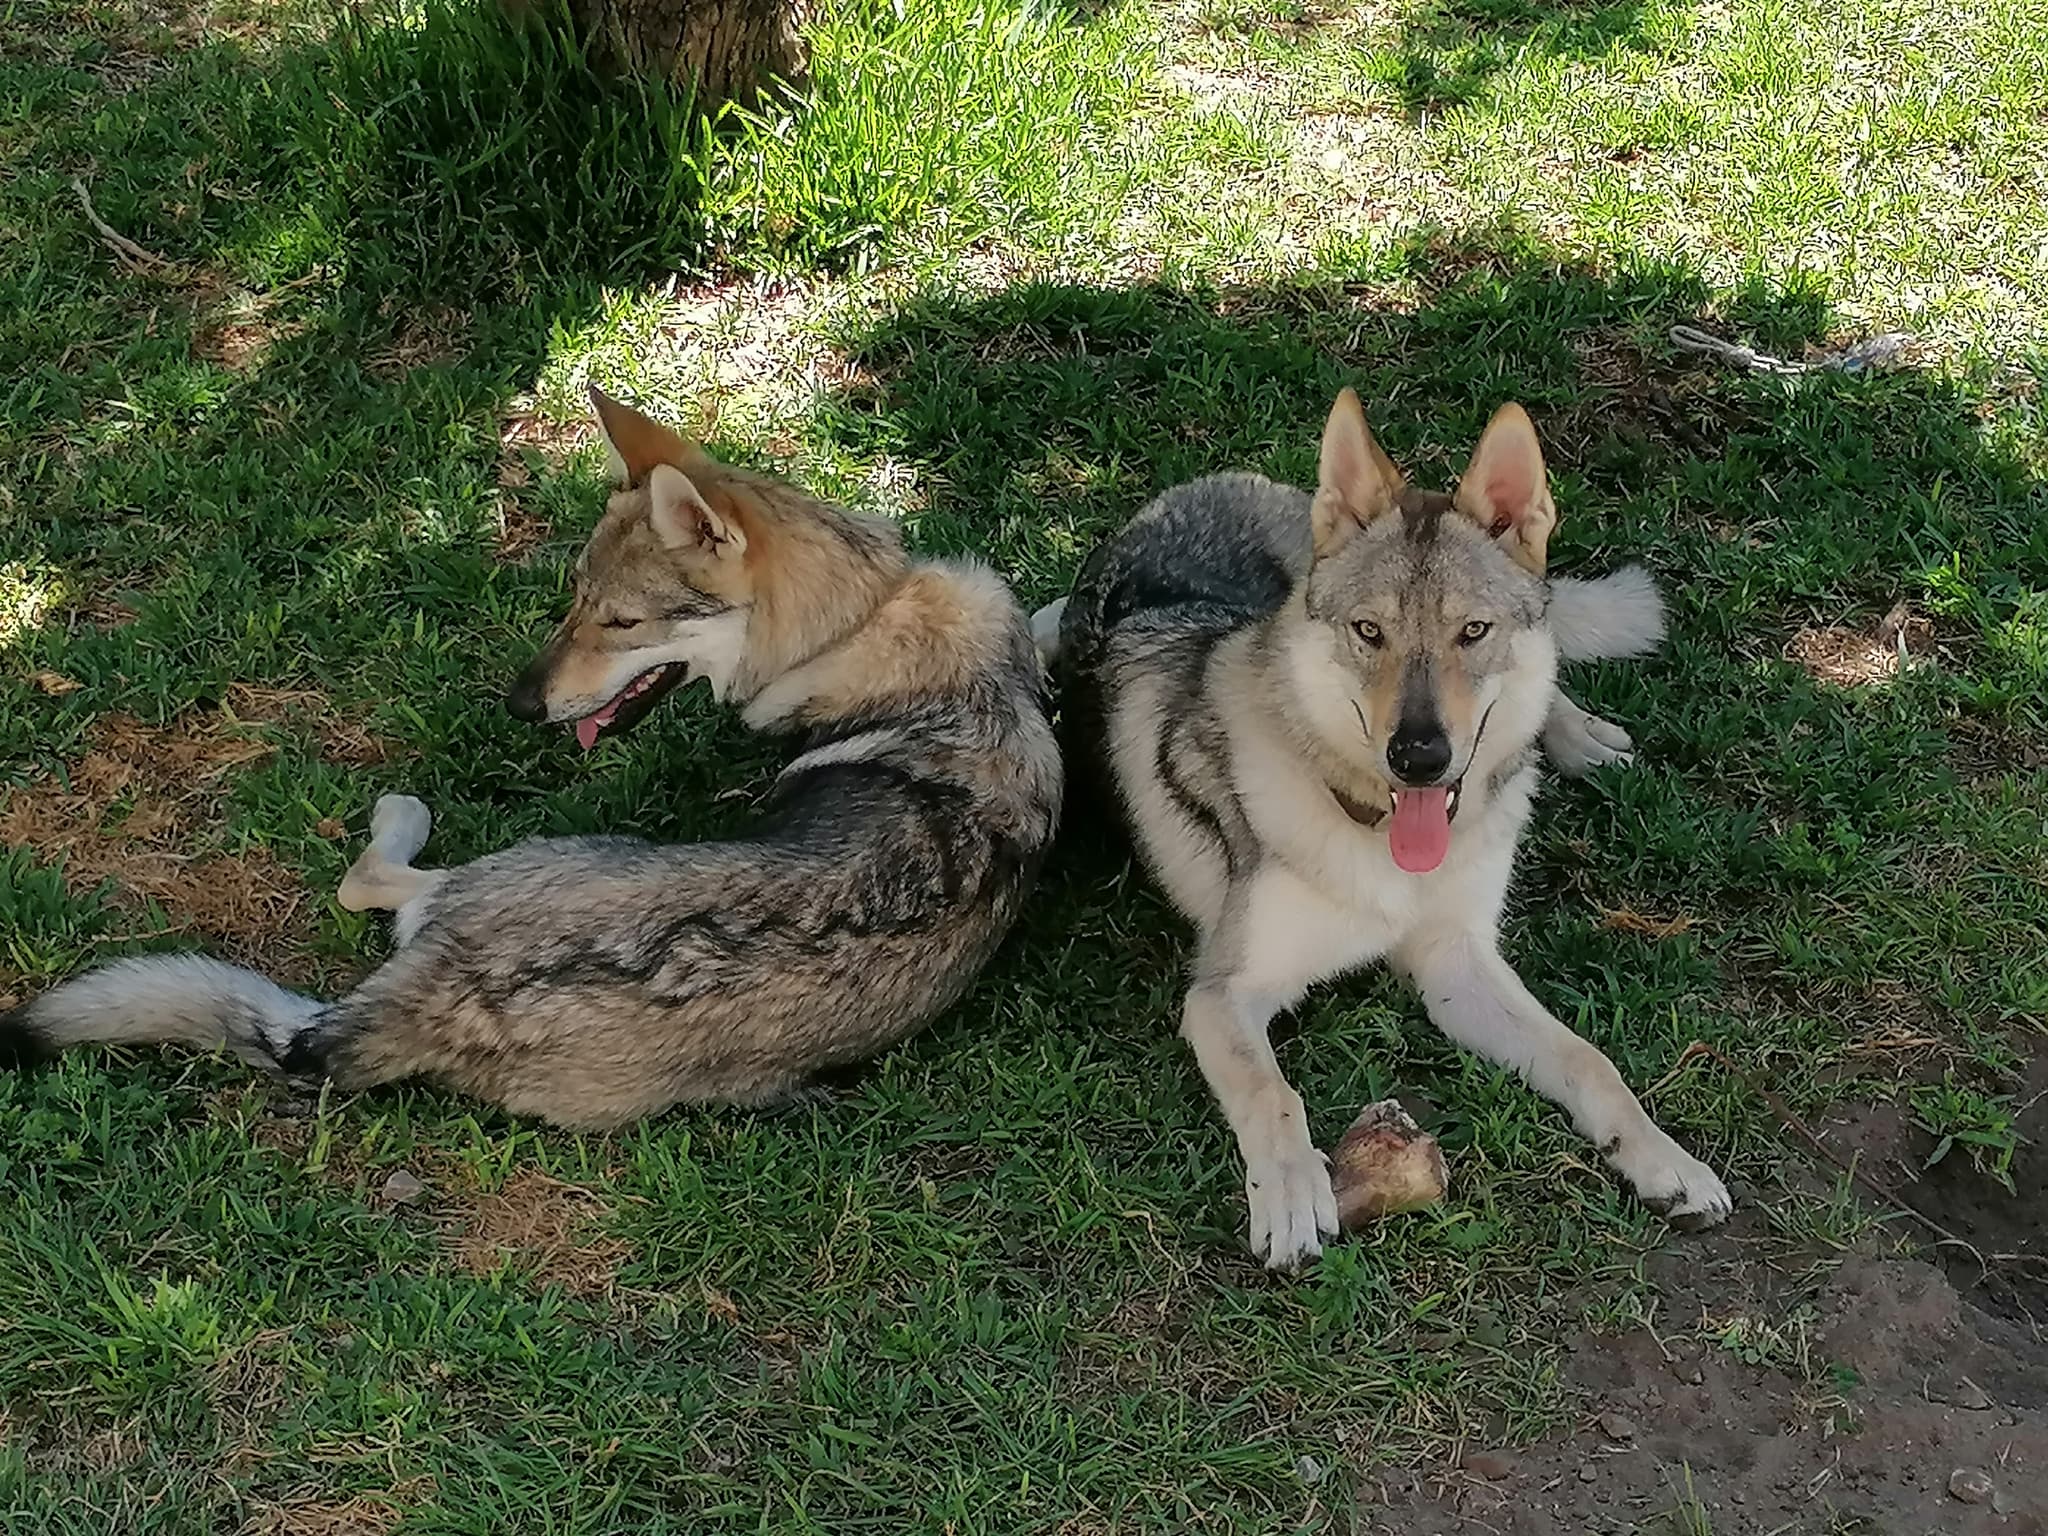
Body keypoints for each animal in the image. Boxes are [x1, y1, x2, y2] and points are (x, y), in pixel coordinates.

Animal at [0, 390, 1062, 1128]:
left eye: (623, 623)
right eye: (574, 599)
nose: (519, 706)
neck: (866, 618)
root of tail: (434, 999)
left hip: (520, 858)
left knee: (368, 874)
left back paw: (401, 813)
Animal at [1040, 390, 1731, 1270]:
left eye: (1473, 633)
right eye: (1370, 633)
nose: (1420, 757)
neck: (1378, 839)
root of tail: (1216, 480)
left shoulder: (1457, 964)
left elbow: (1590, 1059)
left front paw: (1663, 1160)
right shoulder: (1222, 997)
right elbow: (1276, 1095)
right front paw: (1292, 1194)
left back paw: (1579, 737)